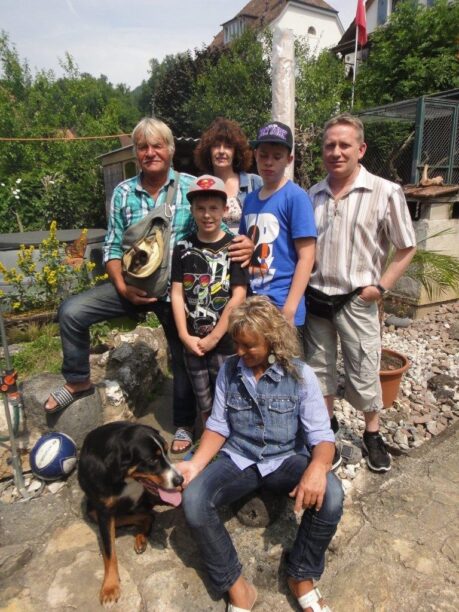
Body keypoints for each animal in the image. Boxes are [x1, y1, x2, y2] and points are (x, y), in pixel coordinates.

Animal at [77, 424, 183, 604]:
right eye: (152, 460)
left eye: (166, 451)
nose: (180, 480)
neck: (126, 478)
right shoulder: (104, 513)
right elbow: (109, 552)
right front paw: (110, 586)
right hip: (92, 510)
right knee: (145, 515)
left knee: (149, 514)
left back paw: (141, 537)